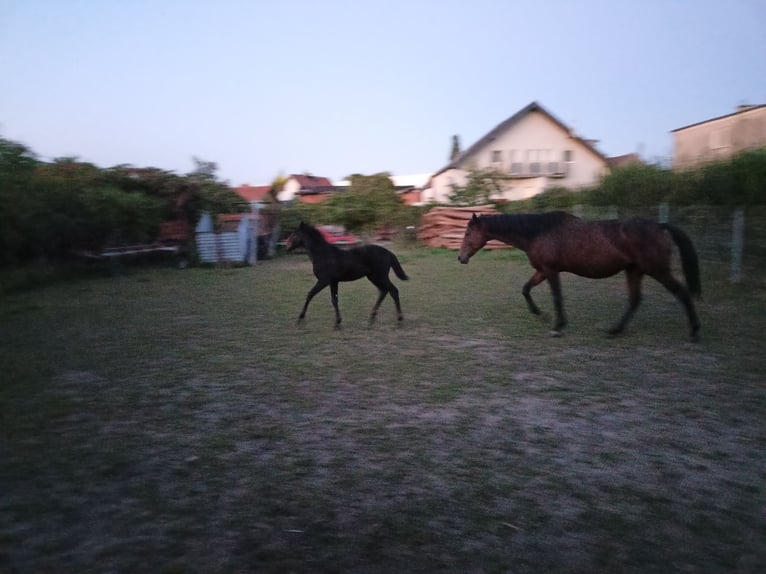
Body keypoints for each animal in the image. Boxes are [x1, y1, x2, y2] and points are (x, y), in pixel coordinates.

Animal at [457, 211, 702, 341]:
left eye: (468, 233)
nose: (461, 258)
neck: (538, 232)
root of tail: (660, 226)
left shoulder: (551, 271)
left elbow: (557, 298)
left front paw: (557, 327)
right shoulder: (541, 271)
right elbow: (525, 289)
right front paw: (541, 315)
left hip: (657, 270)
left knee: (682, 293)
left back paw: (694, 332)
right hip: (634, 270)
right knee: (635, 300)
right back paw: (614, 330)